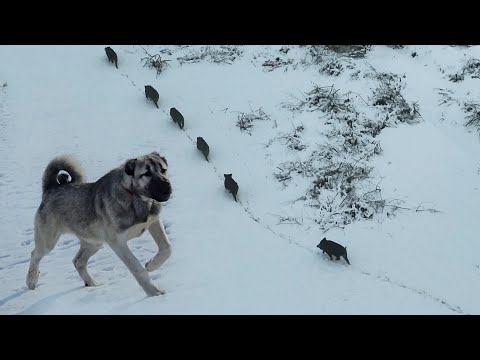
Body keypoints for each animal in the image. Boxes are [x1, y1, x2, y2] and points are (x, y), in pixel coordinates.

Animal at [25, 152, 172, 296]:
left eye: (163, 170)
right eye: (146, 173)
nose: (167, 188)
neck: (135, 197)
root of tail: (51, 188)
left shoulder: (154, 222)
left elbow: (167, 248)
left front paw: (152, 265)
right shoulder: (118, 242)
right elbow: (136, 266)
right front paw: (154, 290)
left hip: (94, 242)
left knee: (78, 261)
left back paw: (92, 283)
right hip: (48, 241)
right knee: (34, 255)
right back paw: (31, 280)